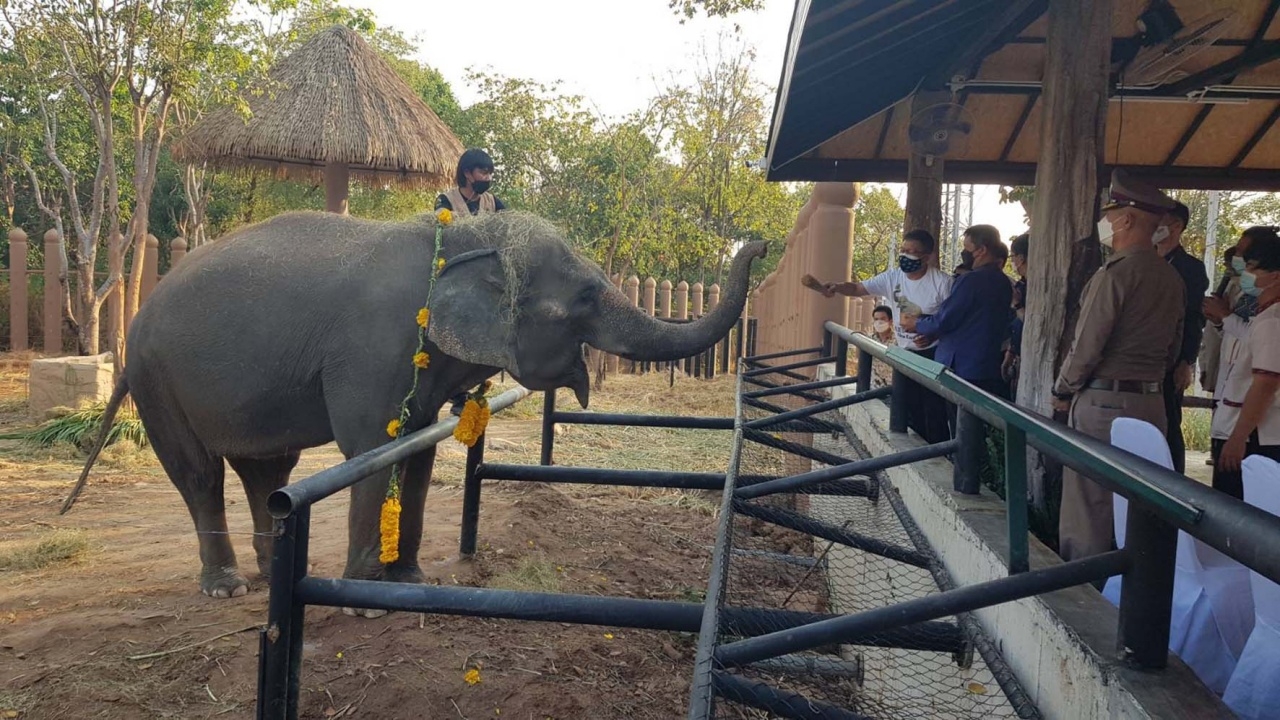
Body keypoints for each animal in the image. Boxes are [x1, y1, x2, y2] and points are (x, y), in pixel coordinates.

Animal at [64, 207, 762, 599]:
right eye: (587, 295)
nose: (757, 241)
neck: (462, 242)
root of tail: (136, 318)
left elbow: (420, 449)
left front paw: (409, 580)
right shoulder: (372, 347)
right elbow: (372, 447)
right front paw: (362, 586)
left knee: (268, 469)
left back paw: (266, 576)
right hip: (157, 380)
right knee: (199, 474)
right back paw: (226, 589)